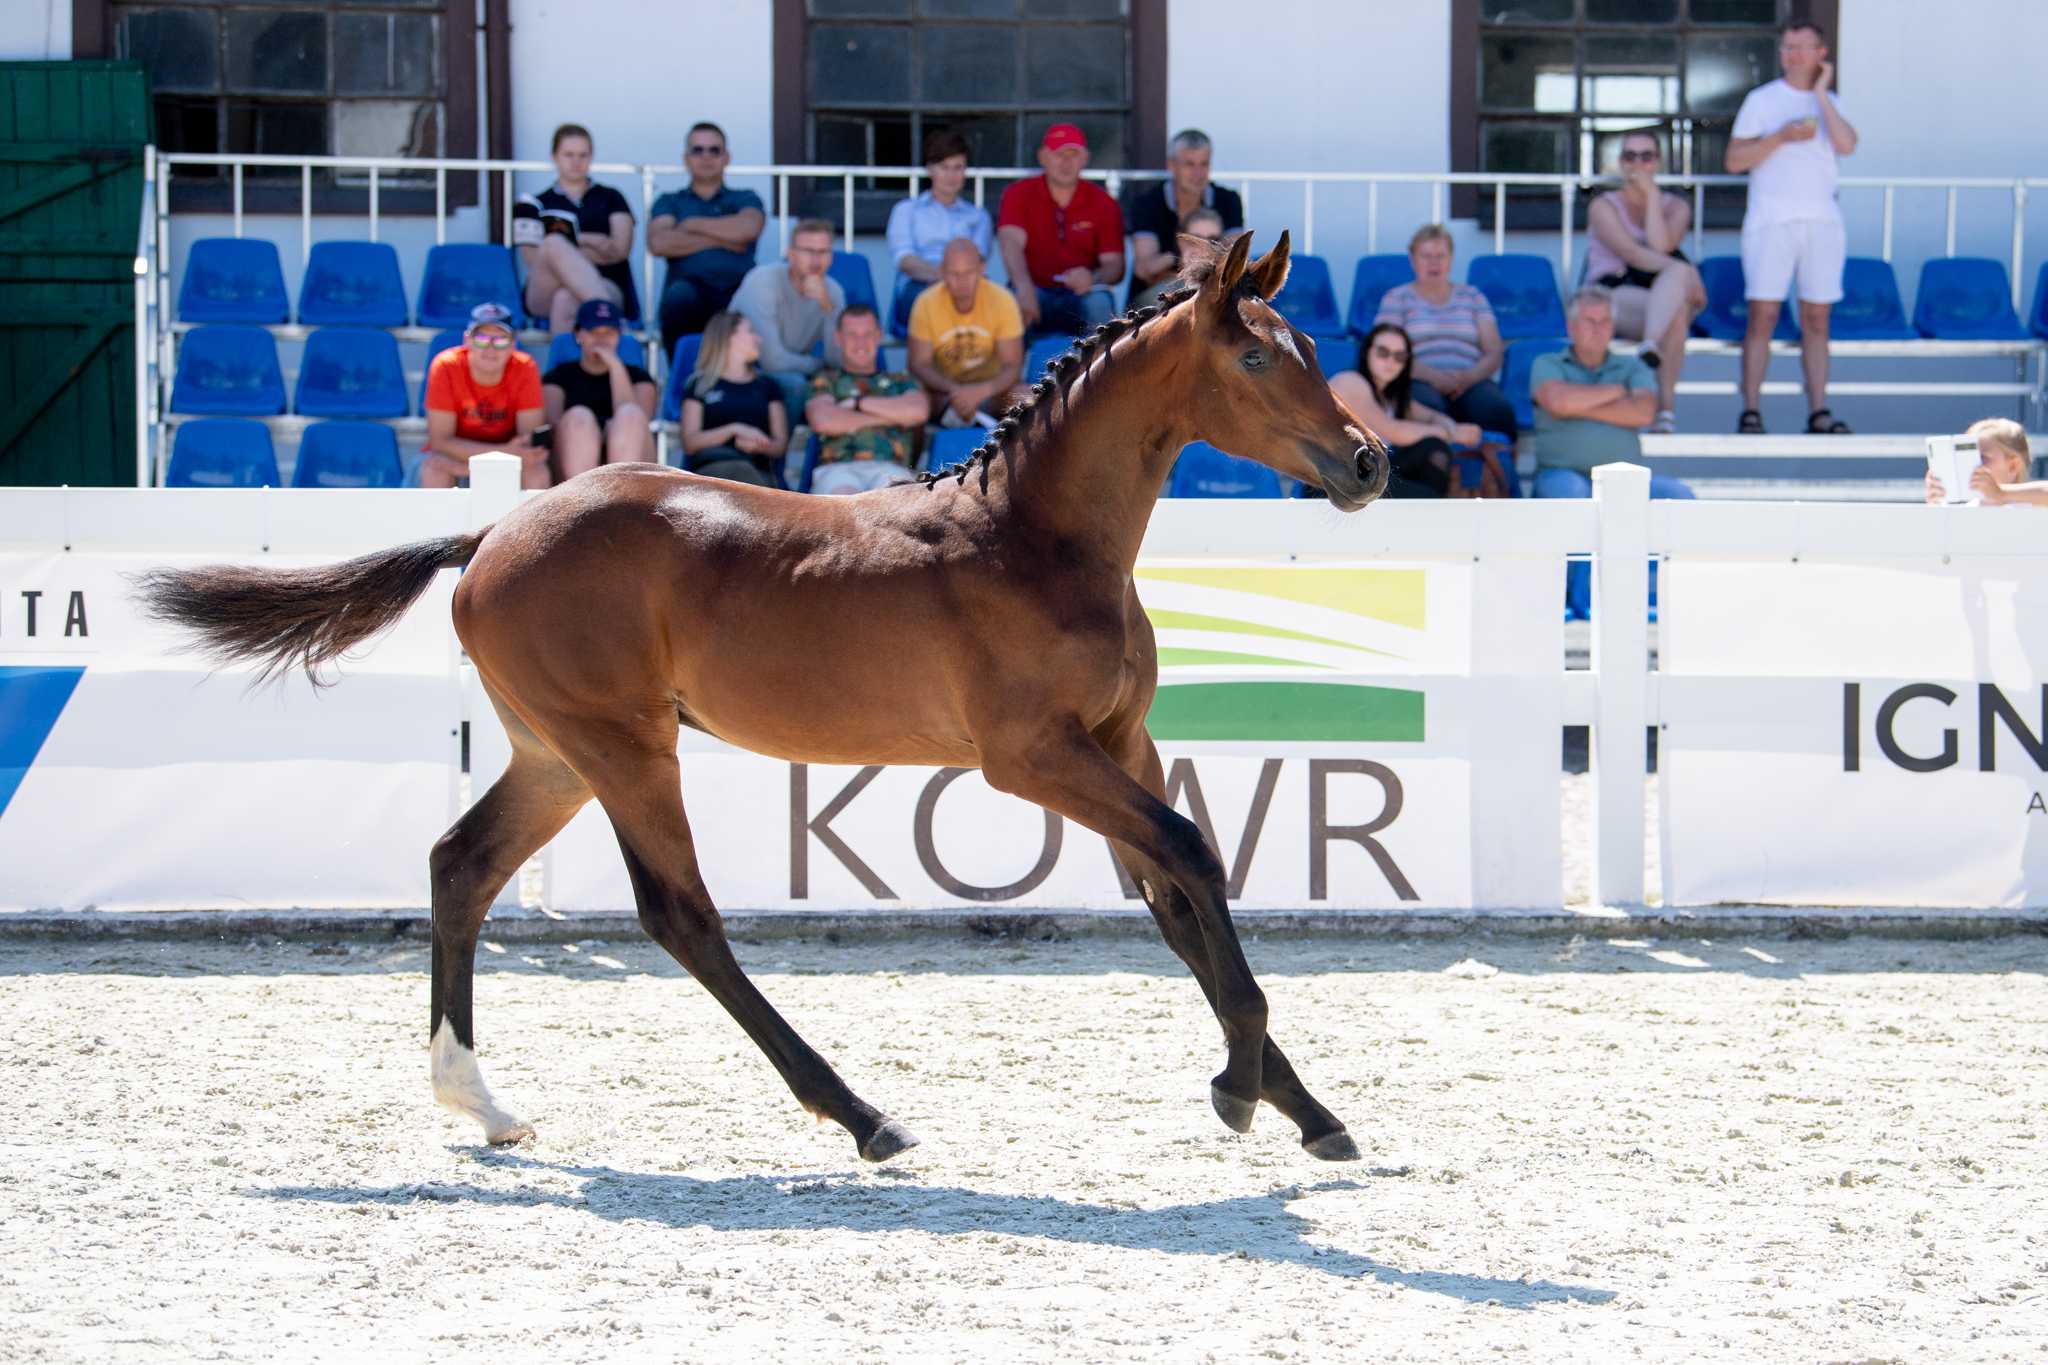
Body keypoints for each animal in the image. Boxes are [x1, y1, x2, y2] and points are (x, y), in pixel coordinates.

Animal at [137, 229, 1390, 1165]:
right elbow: (1188, 855)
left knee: (462, 866)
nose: (1369, 462)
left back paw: (479, 1103)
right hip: (624, 747)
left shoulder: (1118, 741)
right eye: (1257, 361)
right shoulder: (1031, 755)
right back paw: (862, 1116)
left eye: (1307, 343)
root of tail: (491, 532)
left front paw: (1301, 1109)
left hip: (553, 755)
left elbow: (1175, 894)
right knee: (677, 916)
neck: (1031, 539)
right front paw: (1241, 1086)